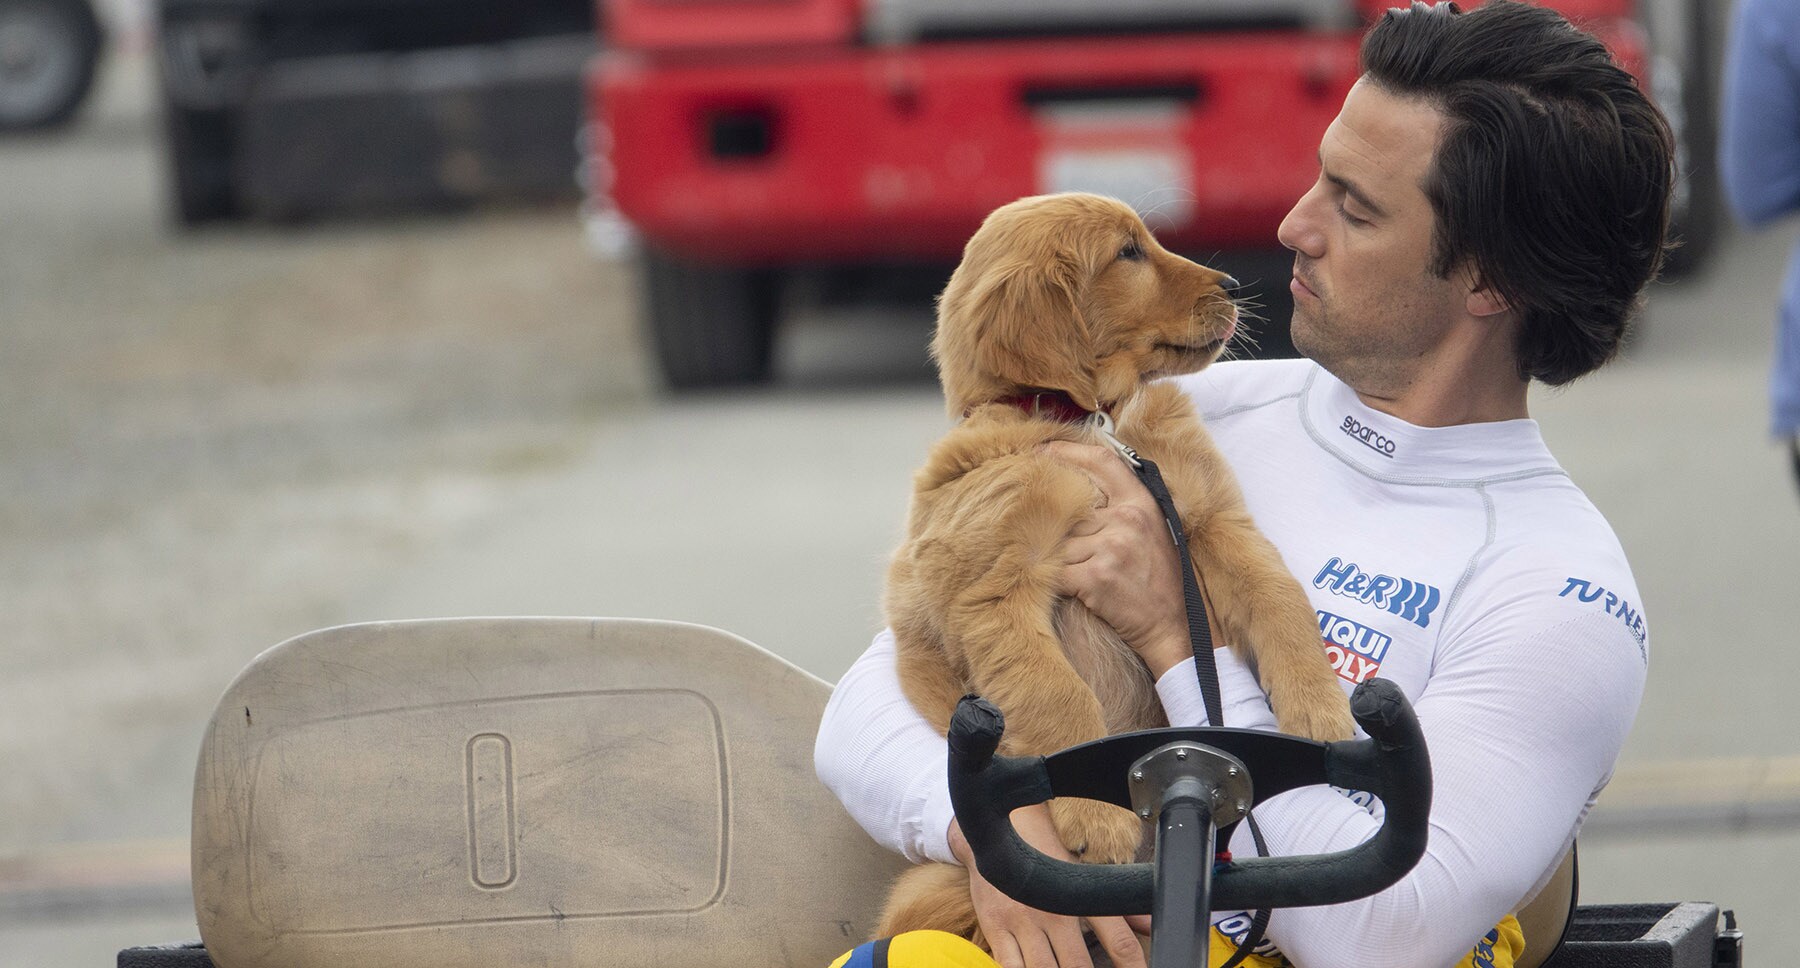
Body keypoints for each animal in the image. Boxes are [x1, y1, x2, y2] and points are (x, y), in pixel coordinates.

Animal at [871, 192, 1353, 935]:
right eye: (1128, 254)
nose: (1235, 287)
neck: (1088, 423)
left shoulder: (1210, 520)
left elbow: (1280, 598)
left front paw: (1319, 708)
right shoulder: (993, 590)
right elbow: (1057, 694)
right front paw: (1097, 818)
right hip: (925, 892)